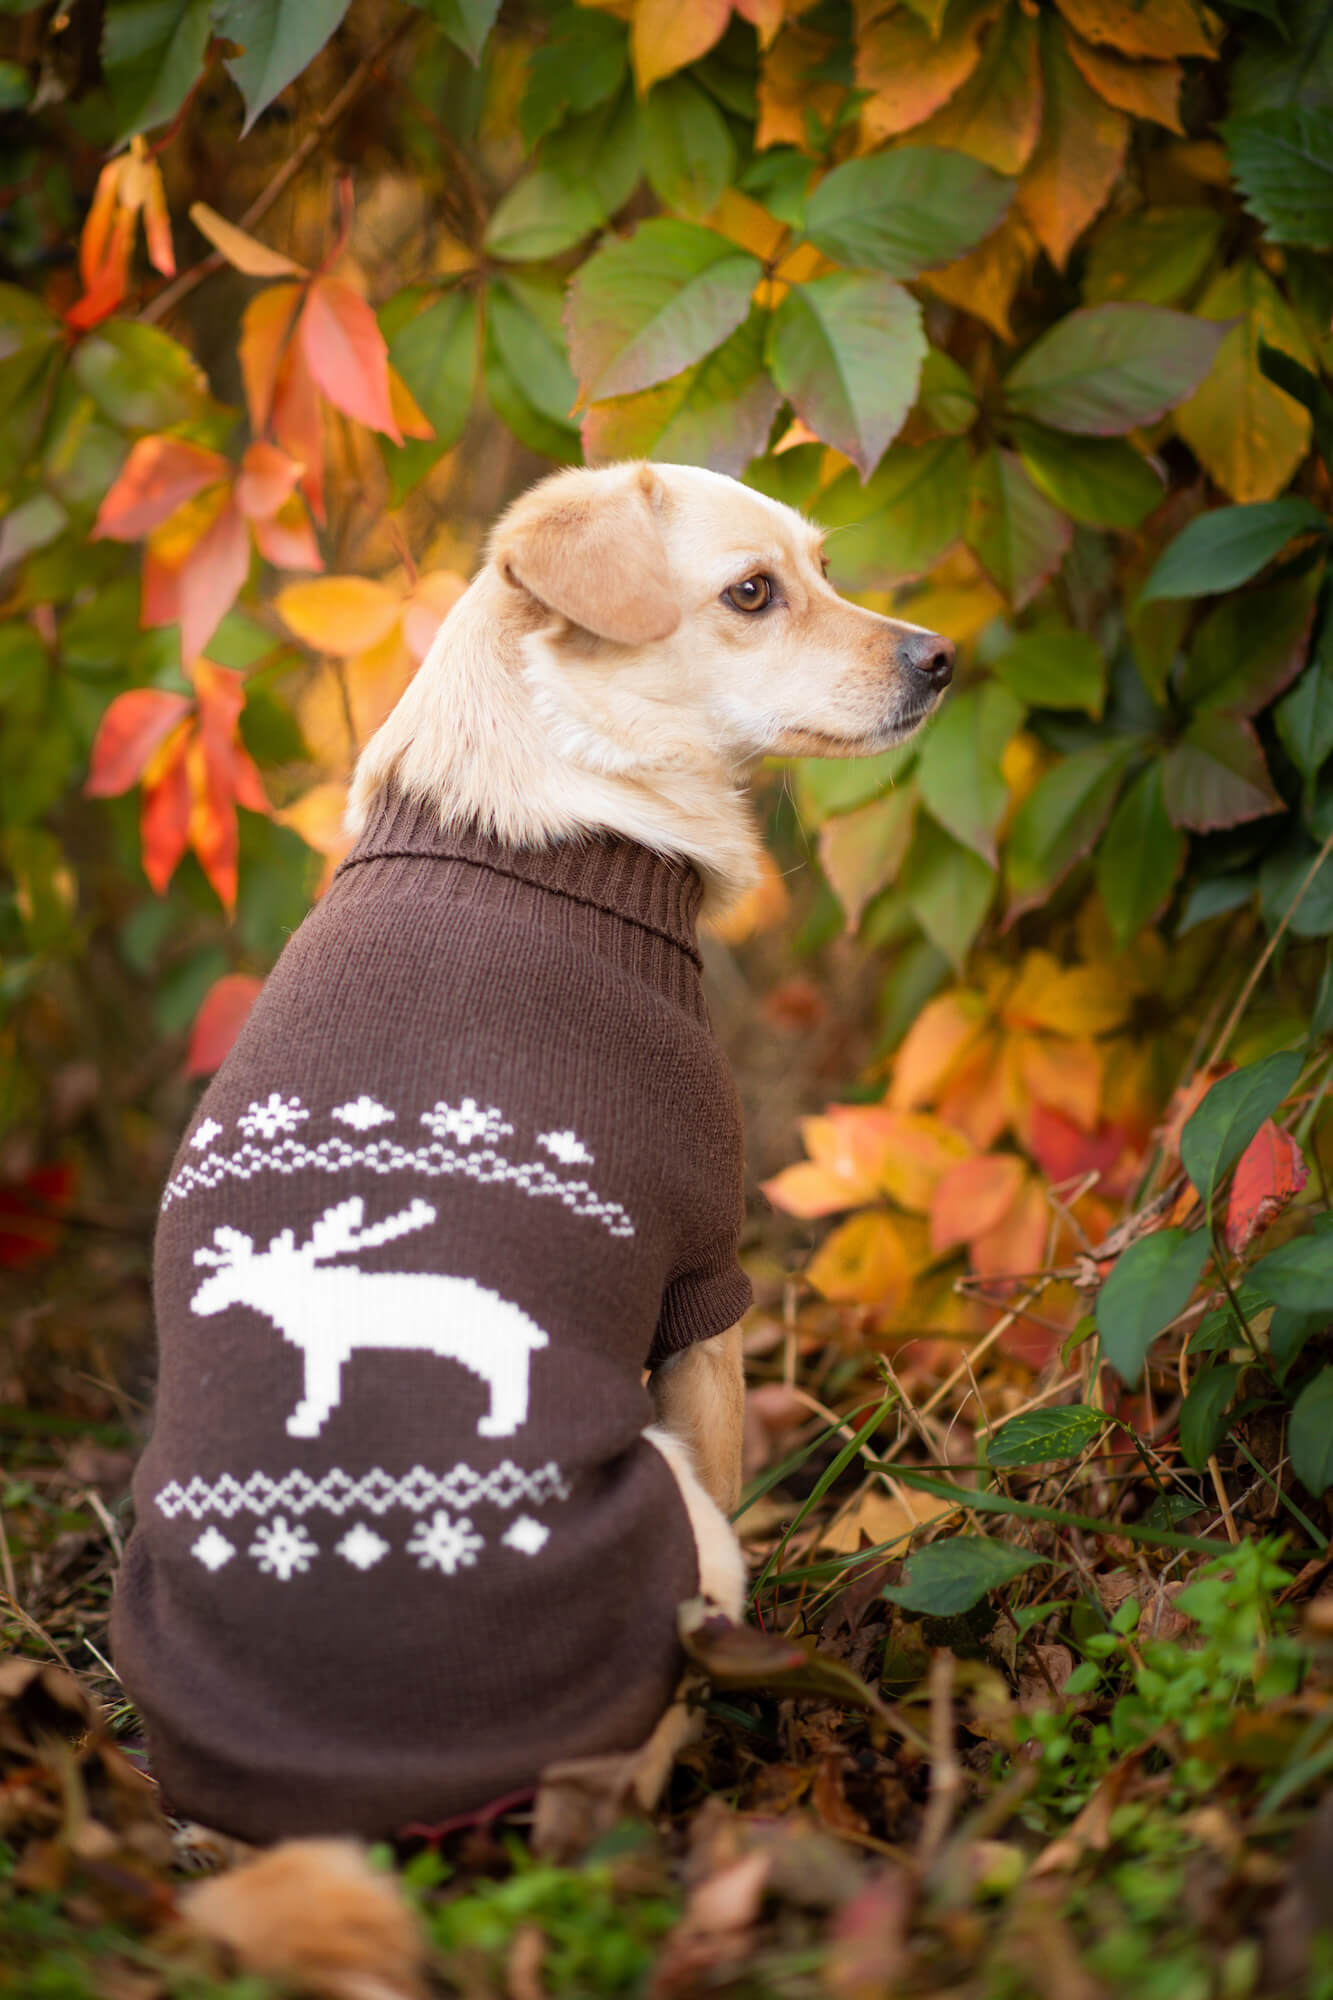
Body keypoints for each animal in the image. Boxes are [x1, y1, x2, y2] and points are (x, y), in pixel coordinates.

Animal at [111, 464, 944, 1984]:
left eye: (823, 565)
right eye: (752, 593)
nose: (943, 657)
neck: (538, 812)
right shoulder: (704, 1293)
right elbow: (730, 1450)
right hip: (675, 1530)